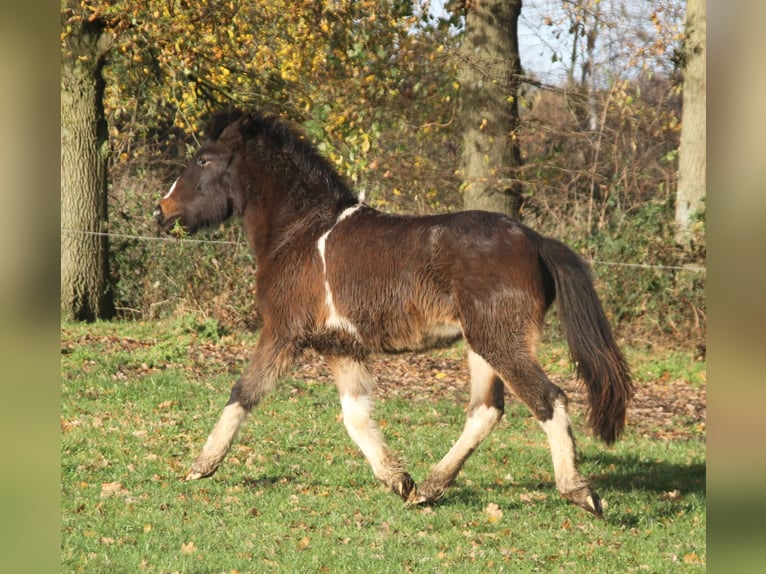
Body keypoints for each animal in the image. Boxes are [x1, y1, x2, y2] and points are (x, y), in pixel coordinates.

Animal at [154, 109, 633, 517]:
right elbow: (356, 416)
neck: (300, 232)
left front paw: (201, 465)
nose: (161, 212)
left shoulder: (282, 333)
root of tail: (534, 240)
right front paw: (399, 479)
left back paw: (581, 492)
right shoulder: (340, 346)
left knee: (548, 399)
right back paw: (429, 489)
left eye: (203, 159)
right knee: (486, 410)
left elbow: (244, 393)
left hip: (499, 342)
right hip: (480, 345)